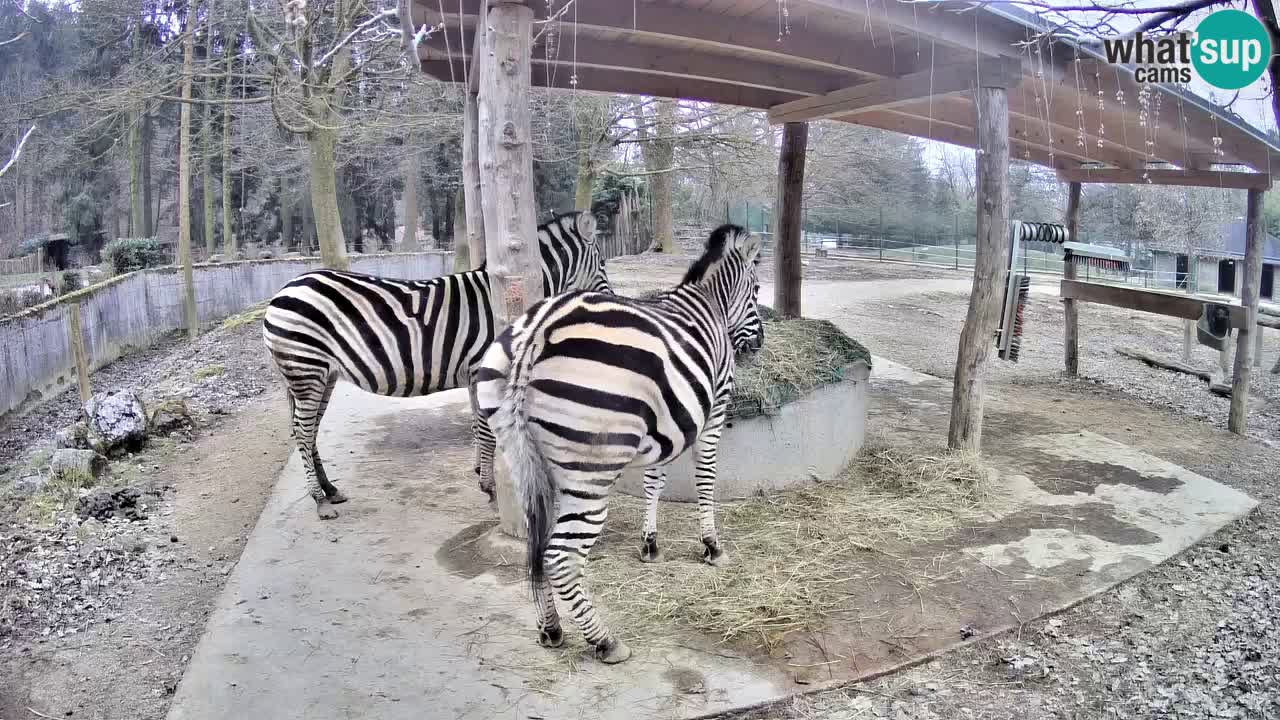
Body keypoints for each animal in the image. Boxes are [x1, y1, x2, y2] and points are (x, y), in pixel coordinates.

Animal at [261, 210, 609, 517]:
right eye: (603, 262)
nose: (613, 298)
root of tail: (285, 288)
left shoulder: (472, 373)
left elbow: (477, 426)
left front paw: (480, 472)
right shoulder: (481, 369)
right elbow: (487, 429)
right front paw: (490, 488)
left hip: (321, 374)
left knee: (309, 431)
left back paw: (330, 490)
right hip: (306, 368)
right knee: (302, 431)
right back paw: (319, 500)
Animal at [478, 222, 757, 661]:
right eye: (758, 289)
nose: (759, 344)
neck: (709, 303)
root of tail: (535, 336)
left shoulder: (666, 423)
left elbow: (654, 481)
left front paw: (650, 544)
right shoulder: (713, 411)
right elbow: (705, 478)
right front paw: (712, 546)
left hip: (527, 460)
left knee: (536, 542)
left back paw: (551, 628)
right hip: (591, 470)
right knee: (560, 555)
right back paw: (604, 640)